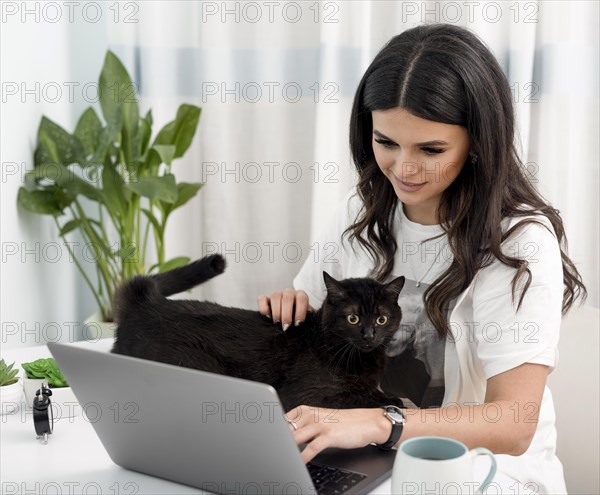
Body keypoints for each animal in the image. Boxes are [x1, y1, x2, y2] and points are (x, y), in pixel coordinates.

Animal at [112, 254, 406, 412]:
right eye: (353, 318)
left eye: (381, 319)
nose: (369, 335)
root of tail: (147, 302)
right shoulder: (307, 396)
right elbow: (356, 397)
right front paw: (388, 402)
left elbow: (373, 392)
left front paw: (388, 397)